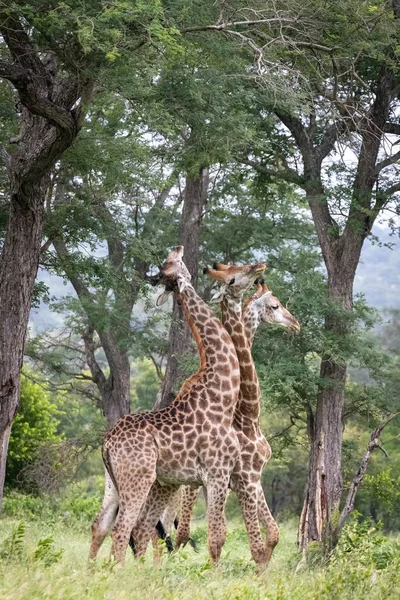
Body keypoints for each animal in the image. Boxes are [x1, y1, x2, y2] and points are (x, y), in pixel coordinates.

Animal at [88, 246, 264, 564]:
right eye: (169, 264)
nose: (259, 269)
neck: (221, 395)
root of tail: (106, 442)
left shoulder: (216, 477)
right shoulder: (218, 473)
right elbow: (217, 537)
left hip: (115, 482)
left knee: (104, 526)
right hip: (140, 479)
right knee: (126, 531)